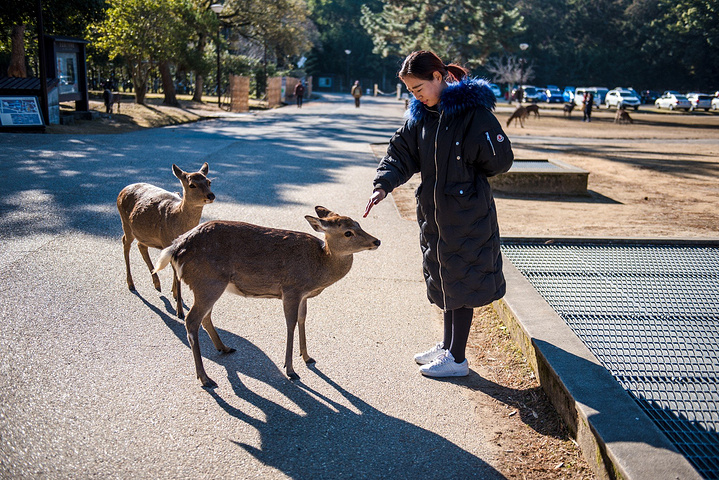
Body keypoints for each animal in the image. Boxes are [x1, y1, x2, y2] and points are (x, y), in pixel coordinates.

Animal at [116, 163, 214, 320]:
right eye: (192, 185)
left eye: (209, 182)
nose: (211, 195)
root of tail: (122, 190)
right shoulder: (167, 241)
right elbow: (176, 274)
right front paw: (179, 311)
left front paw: (174, 294)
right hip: (125, 223)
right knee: (126, 243)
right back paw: (131, 284)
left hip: (143, 232)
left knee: (141, 245)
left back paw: (157, 283)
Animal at [153, 206, 382, 386]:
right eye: (348, 233)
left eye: (359, 224)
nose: (377, 241)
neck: (319, 265)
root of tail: (175, 248)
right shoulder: (291, 289)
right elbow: (290, 324)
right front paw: (290, 370)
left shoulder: (303, 295)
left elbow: (302, 319)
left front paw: (307, 357)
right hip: (208, 281)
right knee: (191, 320)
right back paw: (205, 378)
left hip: (210, 285)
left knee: (205, 317)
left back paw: (224, 348)